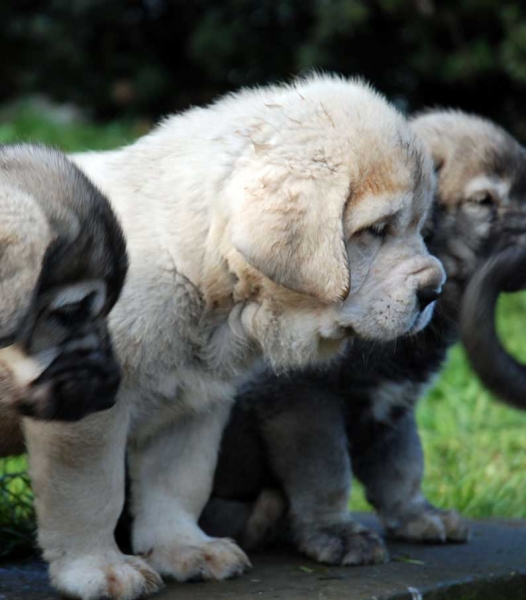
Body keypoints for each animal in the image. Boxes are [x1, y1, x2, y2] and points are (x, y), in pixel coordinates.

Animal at [23, 75, 446, 600]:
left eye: (420, 227)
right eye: (377, 230)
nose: (434, 289)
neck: (202, 274)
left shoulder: (191, 404)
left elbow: (178, 482)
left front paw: (184, 549)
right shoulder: (85, 411)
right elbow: (91, 494)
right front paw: (100, 569)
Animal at [201, 109, 526, 568]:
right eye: (483, 202)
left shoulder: (396, 400)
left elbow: (403, 464)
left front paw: (418, 514)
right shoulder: (302, 401)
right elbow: (326, 474)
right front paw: (337, 533)